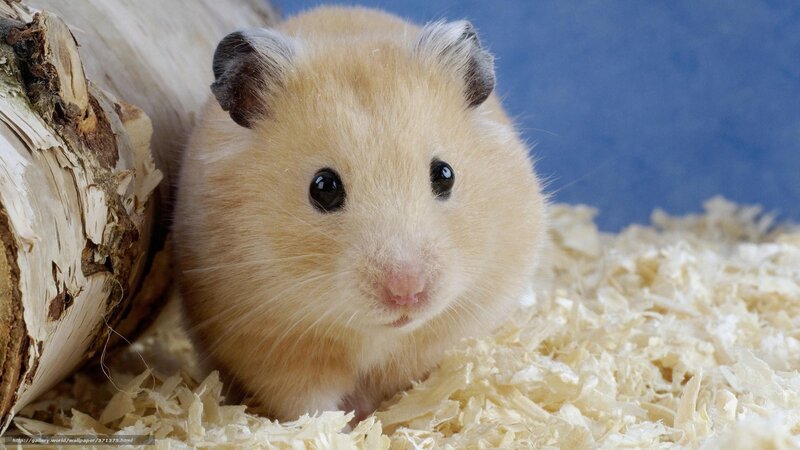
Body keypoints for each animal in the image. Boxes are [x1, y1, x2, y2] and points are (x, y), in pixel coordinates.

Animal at [172, 6, 547, 421]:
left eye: (445, 174)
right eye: (323, 187)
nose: (407, 292)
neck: (376, 333)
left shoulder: (449, 330)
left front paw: (384, 416)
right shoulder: (271, 345)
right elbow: (308, 404)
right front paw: (346, 426)